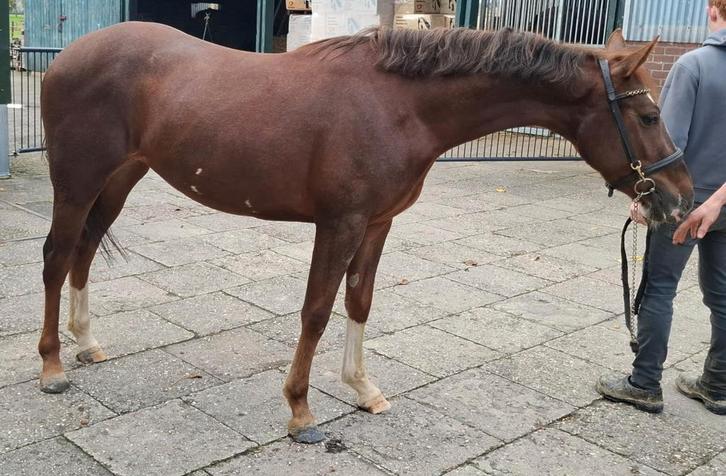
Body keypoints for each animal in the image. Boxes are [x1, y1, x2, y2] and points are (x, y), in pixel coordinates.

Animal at [37, 22, 693, 443]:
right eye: (648, 116)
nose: (681, 198)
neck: (398, 104)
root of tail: (69, 54)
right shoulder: (340, 223)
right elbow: (316, 310)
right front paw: (301, 410)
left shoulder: (378, 223)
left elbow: (359, 302)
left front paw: (361, 388)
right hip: (76, 182)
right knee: (55, 257)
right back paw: (52, 368)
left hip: (120, 178)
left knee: (85, 252)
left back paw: (86, 341)